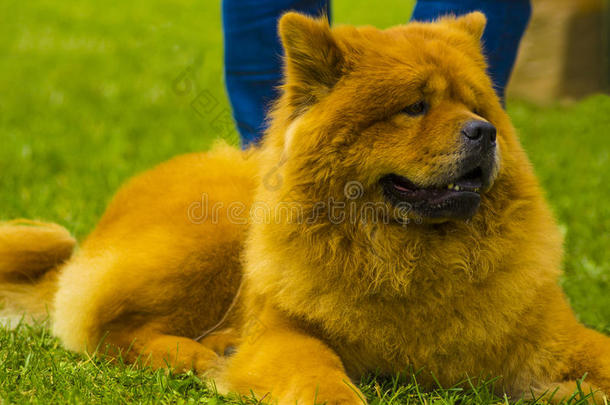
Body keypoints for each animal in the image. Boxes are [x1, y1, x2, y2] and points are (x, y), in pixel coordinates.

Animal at [1, 11, 608, 402]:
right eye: (414, 108)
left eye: (477, 106)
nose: (484, 132)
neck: (414, 259)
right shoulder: (286, 332)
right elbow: (321, 375)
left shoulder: (552, 336)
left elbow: (598, 353)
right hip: (203, 242)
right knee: (111, 331)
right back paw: (200, 356)